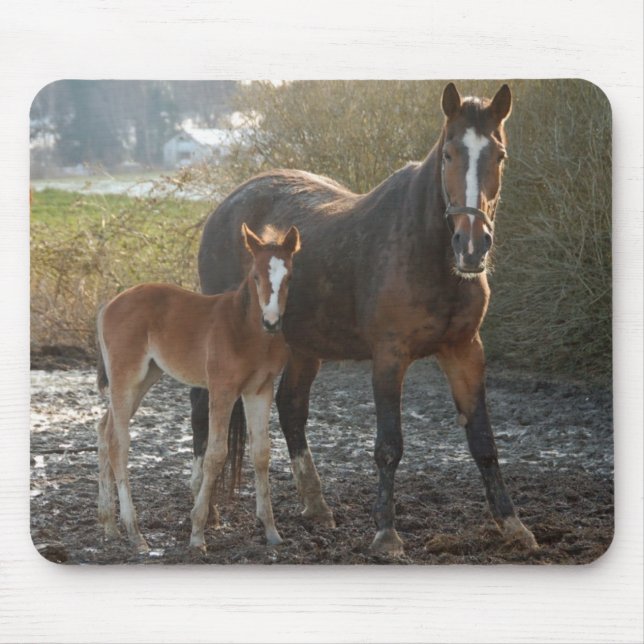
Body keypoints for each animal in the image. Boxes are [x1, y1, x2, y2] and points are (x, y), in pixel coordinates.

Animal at [96, 223, 301, 553]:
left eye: (289, 277)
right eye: (256, 276)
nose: (271, 321)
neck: (246, 330)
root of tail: (109, 304)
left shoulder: (260, 389)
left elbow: (261, 453)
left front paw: (271, 530)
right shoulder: (222, 389)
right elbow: (216, 454)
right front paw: (197, 533)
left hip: (145, 377)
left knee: (104, 429)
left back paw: (109, 525)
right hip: (126, 376)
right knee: (118, 441)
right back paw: (134, 532)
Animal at [191, 83, 538, 555]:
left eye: (499, 156)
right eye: (449, 153)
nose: (471, 244)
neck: (425, 252)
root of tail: (226, 207)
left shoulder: (465, 351)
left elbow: (483, 441)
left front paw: (513, 525)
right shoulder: (389, 356)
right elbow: (389, 445)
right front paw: (386, 533)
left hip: (303, 346)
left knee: (291, 407)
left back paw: (316, 506)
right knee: (203, 404)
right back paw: (204, 510)